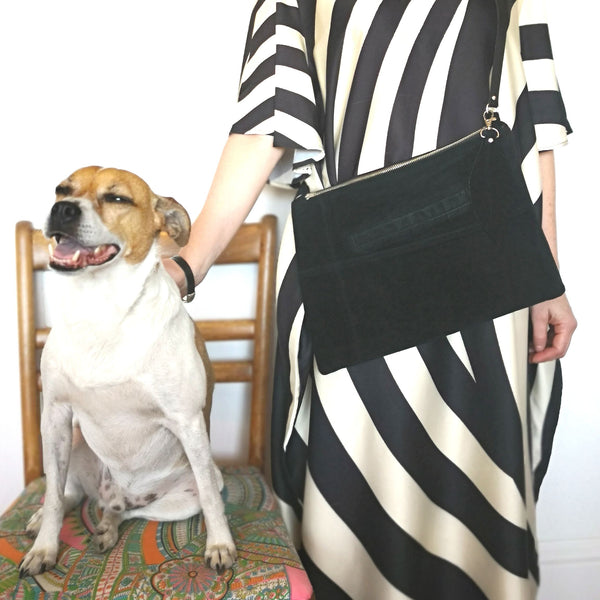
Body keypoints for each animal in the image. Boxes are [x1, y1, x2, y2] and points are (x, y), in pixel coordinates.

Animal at [19, 164, 234, 576]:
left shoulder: (187, 421)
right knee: (71, 494)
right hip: (74, 446)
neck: (101, 309)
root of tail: (120, 492)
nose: (62, 210)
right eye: (62, 190)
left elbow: (213, 504)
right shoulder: (54, 414)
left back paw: (107, 525)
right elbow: (52, 497)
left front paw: (220, 545)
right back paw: (49, 520)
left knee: (127, 512)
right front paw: (44, 549)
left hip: (182, 496)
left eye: (117, 198)